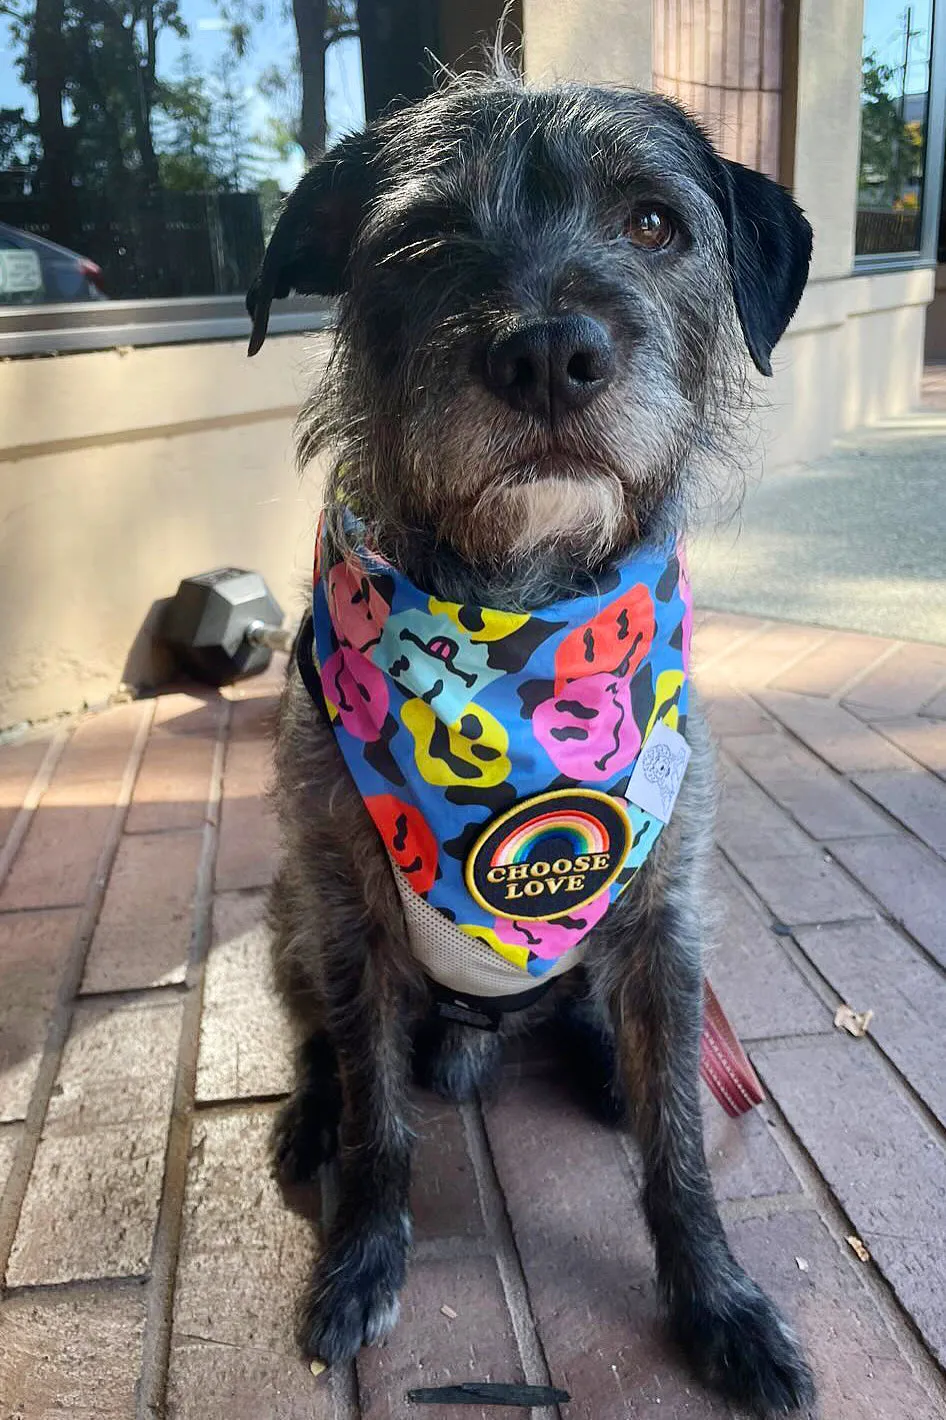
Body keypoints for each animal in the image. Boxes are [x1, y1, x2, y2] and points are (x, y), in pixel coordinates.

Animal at [248, 61, 812, 1414]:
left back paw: (604, 1056)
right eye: (420, 240)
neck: (516, 606)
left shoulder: (667, 916)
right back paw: (310, 1110)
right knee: (328, 1046)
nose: (552, 353)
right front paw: (361, 1256)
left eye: (654, 223)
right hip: (289, 911)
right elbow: (378, 1116)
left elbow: (679, 1148)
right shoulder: (348, 919)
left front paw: (718, 1303)